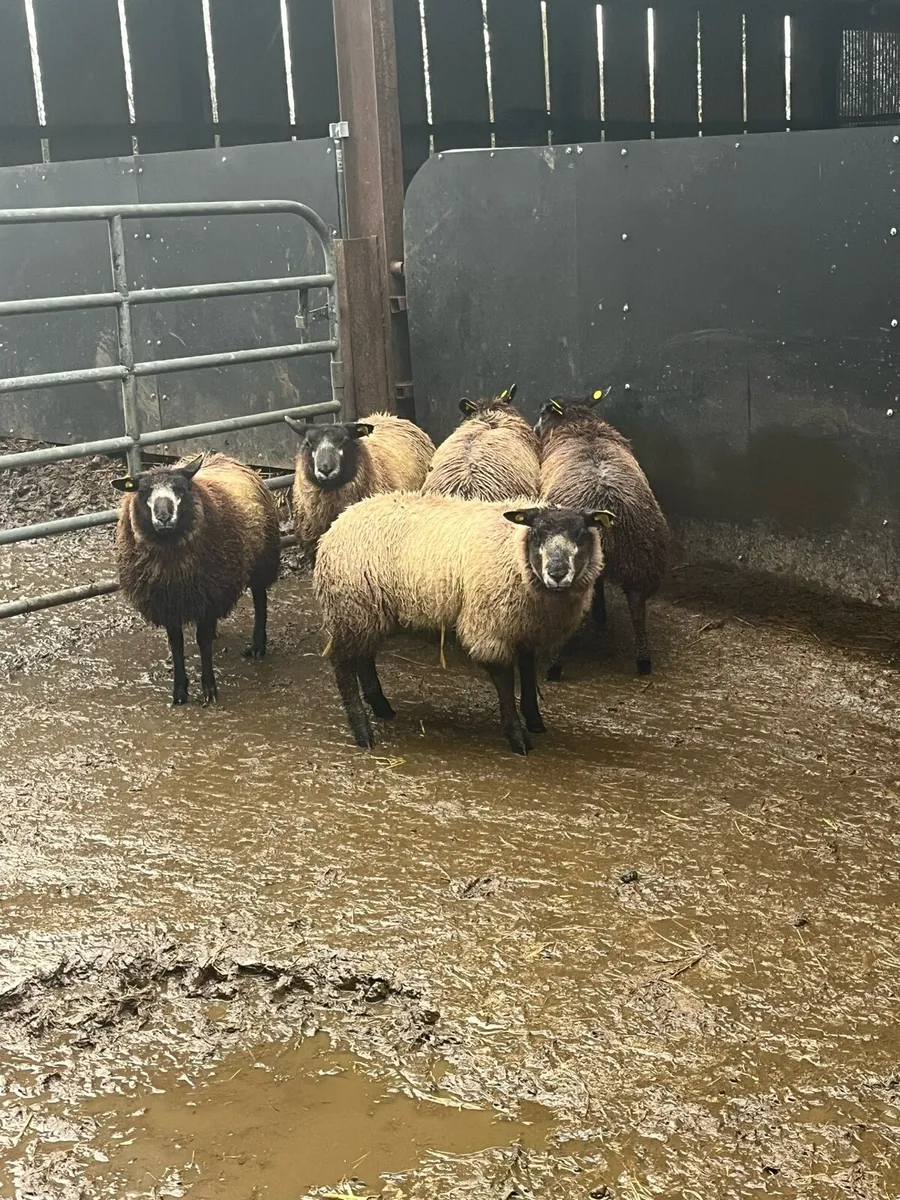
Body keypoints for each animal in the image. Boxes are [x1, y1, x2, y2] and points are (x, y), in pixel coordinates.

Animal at [113, 452, 280, 705]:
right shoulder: (169, 604)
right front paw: (180, 691)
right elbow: (177, 645)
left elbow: (203, 642)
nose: (163, 517)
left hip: (262, 560)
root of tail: (219, 456)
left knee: (260, 599)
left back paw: (258, 646)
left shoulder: (208, 597)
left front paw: (209, 688)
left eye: (180, 489)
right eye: (144, 491)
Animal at [314, 490, 613, 755]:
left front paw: (535, 720)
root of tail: (341, 519)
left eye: (581, 533)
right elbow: (505, 682)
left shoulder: (526, 627)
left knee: (364, 657)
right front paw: (519, 739)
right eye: (537, 532)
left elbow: (528, 673)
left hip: (370, 612)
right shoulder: (490, 627)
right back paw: (363, 732)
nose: (557, 573)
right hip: (351, 605)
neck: (514, 550)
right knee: (343, 664)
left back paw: (381, 707)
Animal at [535, 391, 669, 678]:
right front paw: (600, 612)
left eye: (542, 413)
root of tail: (605, 514)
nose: (535, 430)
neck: (582, 426)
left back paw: (554, 667)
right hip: (641, 563)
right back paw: (643, 661)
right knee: (638, 610)